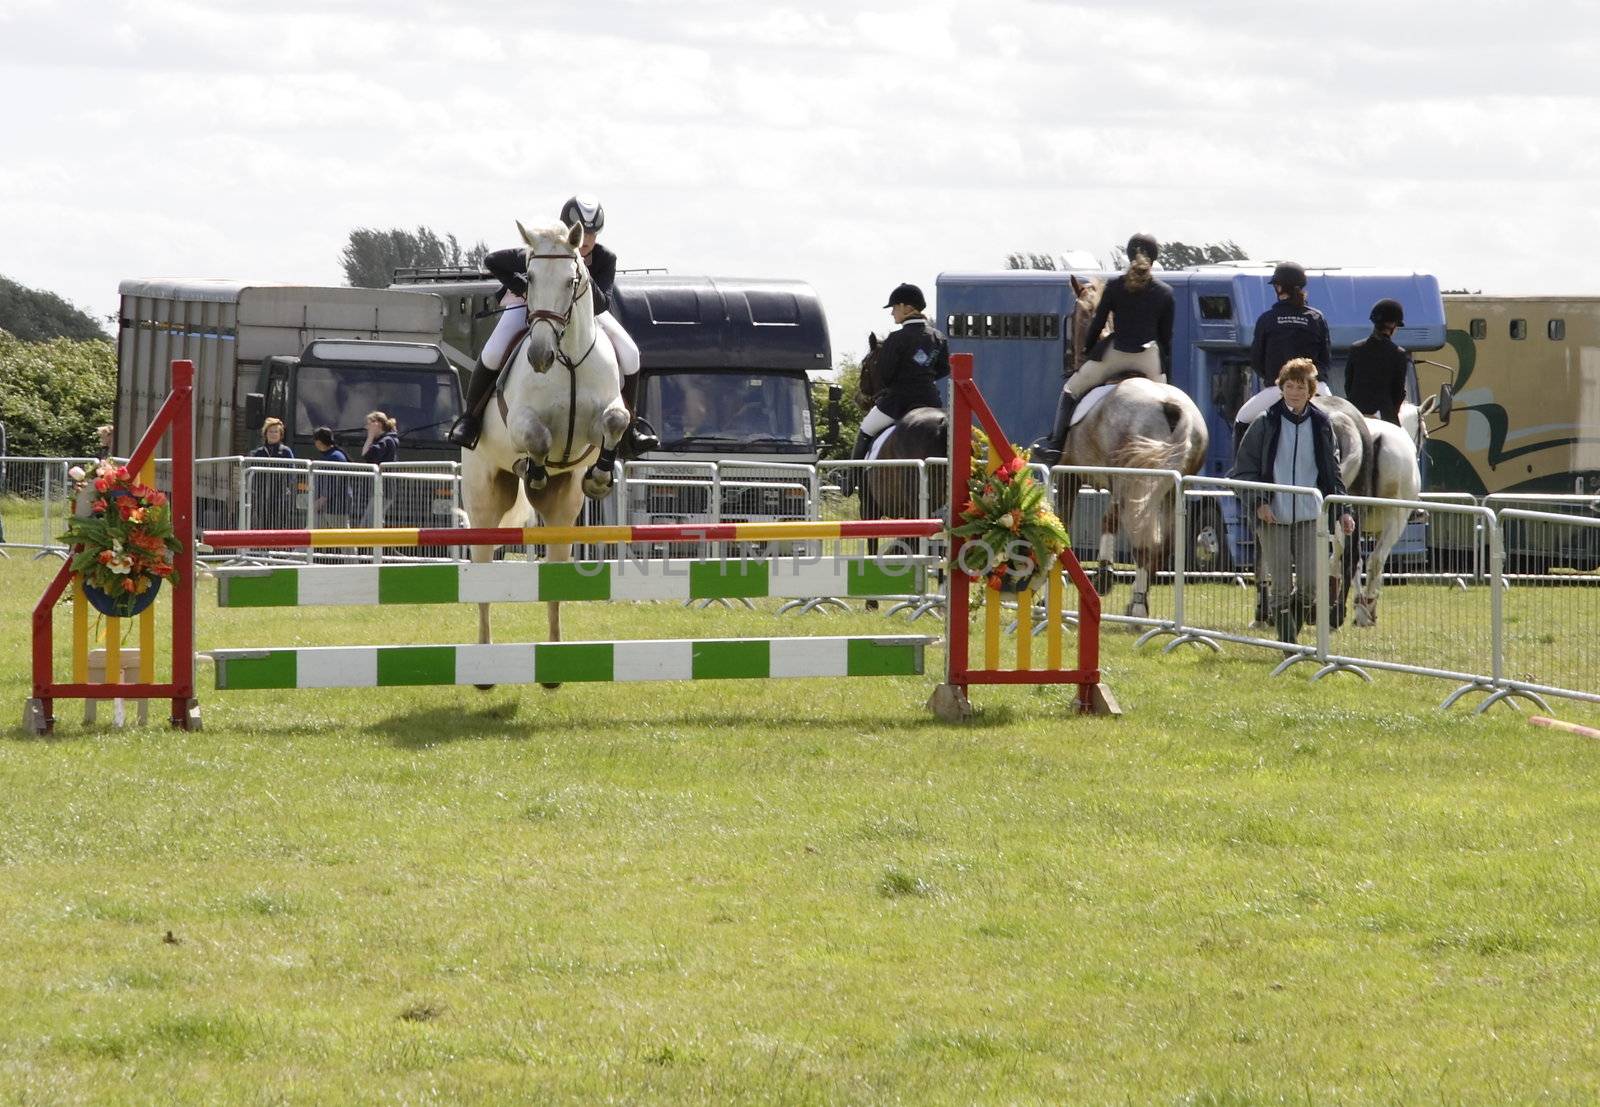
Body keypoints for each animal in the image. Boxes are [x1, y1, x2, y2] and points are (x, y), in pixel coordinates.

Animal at [460, 220, 627, 662]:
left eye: (572, 280)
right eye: (530, 277)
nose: (538, 356)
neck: (567, 359)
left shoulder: (604, 420)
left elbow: (616, 422)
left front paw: (599, 477)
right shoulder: (521, 422)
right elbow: (537, 436)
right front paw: (533, 469)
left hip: (563, 510)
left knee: (555, 574)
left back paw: (554, 649)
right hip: (484, 498)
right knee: (482, 567)